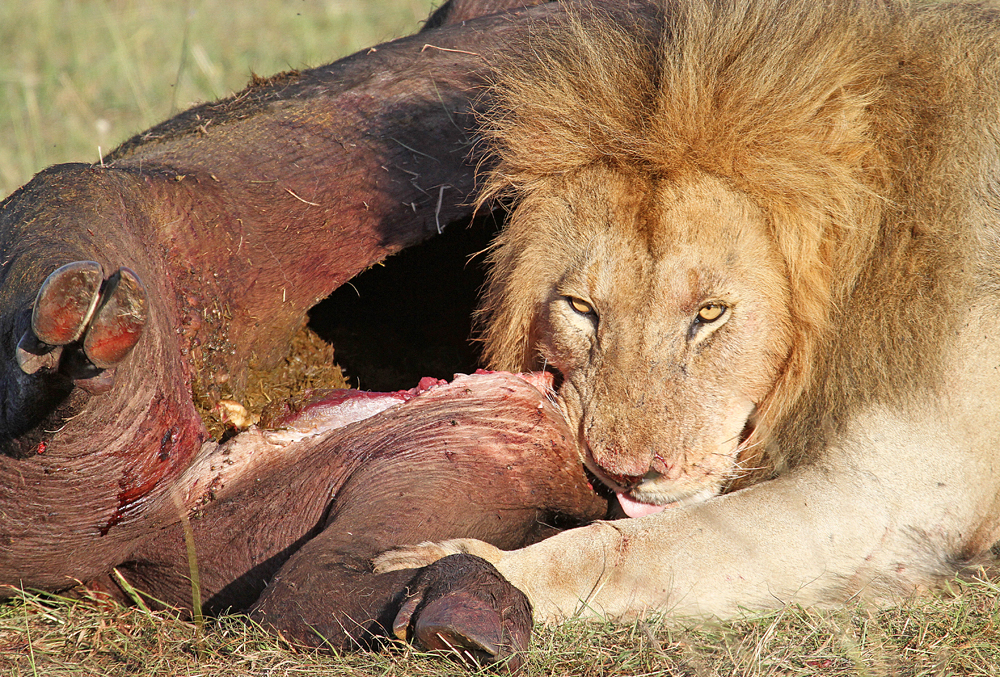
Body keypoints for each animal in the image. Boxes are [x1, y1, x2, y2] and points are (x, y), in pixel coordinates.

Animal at [376, 0, 1000, 624]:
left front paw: (467, 566)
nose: (627, 473)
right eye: (581, 308)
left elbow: (628, 546)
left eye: (711, 313)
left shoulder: (890, 492)